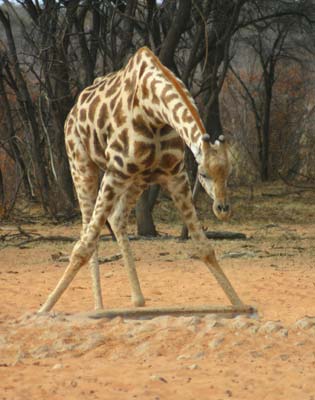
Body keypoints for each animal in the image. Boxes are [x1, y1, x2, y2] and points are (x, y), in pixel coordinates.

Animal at [37, 47, 244, 314]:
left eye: (228, 173)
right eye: (204, 174)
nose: (223, 209)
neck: (153, 110)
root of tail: (73, 110)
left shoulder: (175, 175)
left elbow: (204, 247)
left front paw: (239, 305)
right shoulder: (114, 171)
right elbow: (83, 246)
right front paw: (43, 309)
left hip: (138, 178)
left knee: (116, 219)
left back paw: (137, 300)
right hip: (81, 163)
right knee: (87, 229)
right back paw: (98, 305)